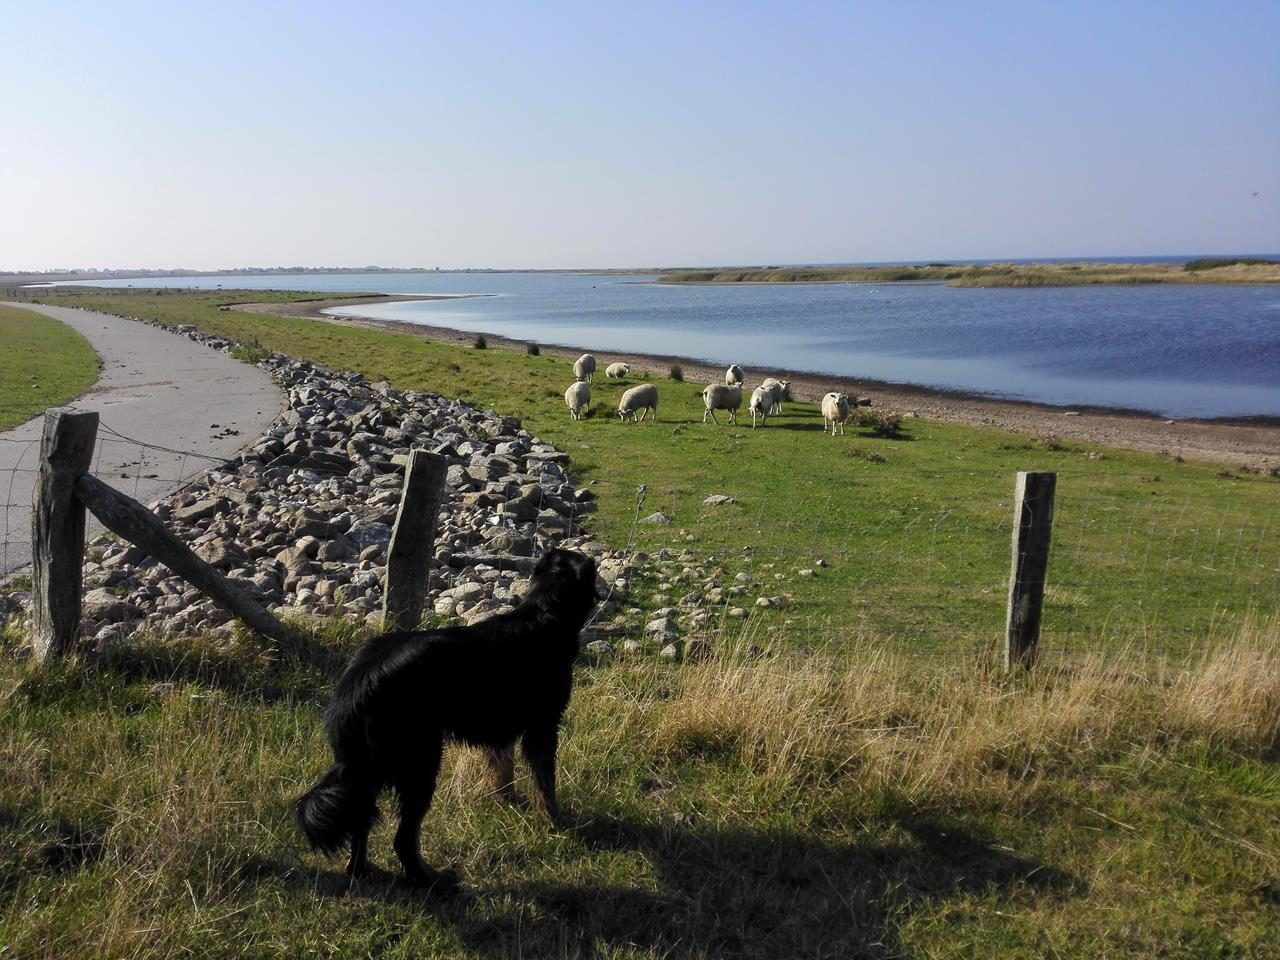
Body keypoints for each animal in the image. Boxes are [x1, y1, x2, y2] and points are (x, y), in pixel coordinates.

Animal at [294, 547, 599, 885]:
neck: (544, 613)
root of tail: (355, 685)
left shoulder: (500, 726)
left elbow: (503, 768)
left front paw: (508, 800)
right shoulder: (542, 727)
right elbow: (545, 784)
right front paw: (555, 822)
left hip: (370, 770)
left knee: (361, 821)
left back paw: (363, 872)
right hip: (421, 762)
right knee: (403, 839)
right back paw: (432, 879)